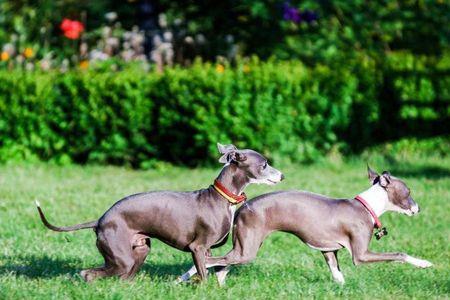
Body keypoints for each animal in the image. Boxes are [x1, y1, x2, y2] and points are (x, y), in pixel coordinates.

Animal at [37, 143, 284, 282]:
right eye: (264, 164)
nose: (282, 176)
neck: (221, 198)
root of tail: (99, 220)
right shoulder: (197, 247)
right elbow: (203, 276)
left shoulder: (207, 250)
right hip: (122, 258)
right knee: (89, 274)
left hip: (140, 250)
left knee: (124, 279)